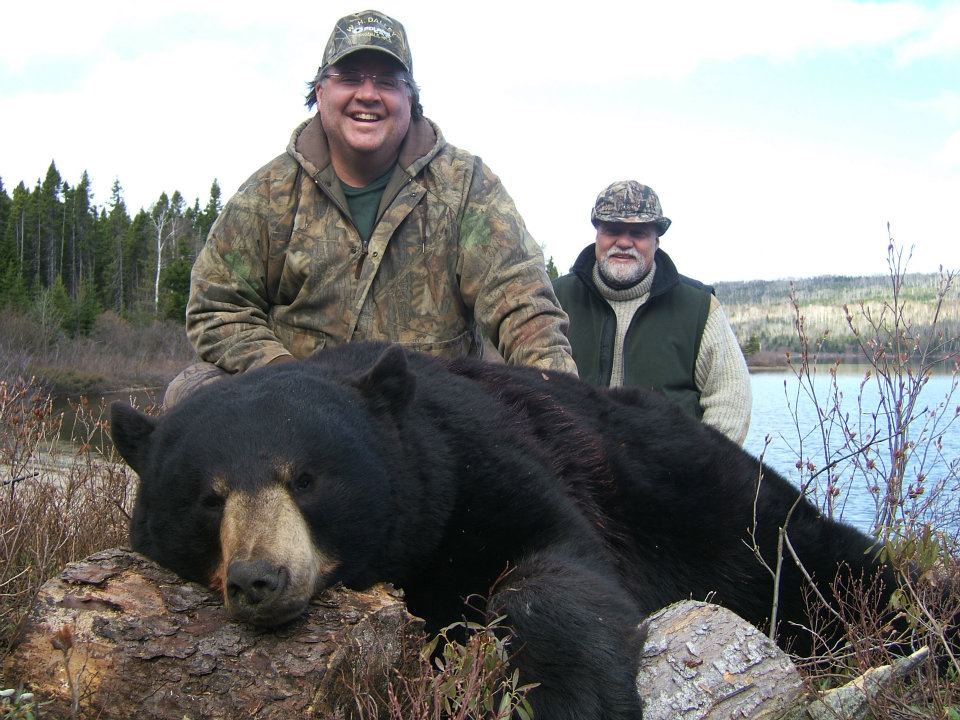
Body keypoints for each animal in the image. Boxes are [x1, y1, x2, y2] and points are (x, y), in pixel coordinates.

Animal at [110, 344, 892, 720]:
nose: (259, 578)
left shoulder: (480, 464)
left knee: (829, 569)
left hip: (724, 512)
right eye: (207, 498)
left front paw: (567, 697)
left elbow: (555, 563)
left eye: (305, 478)